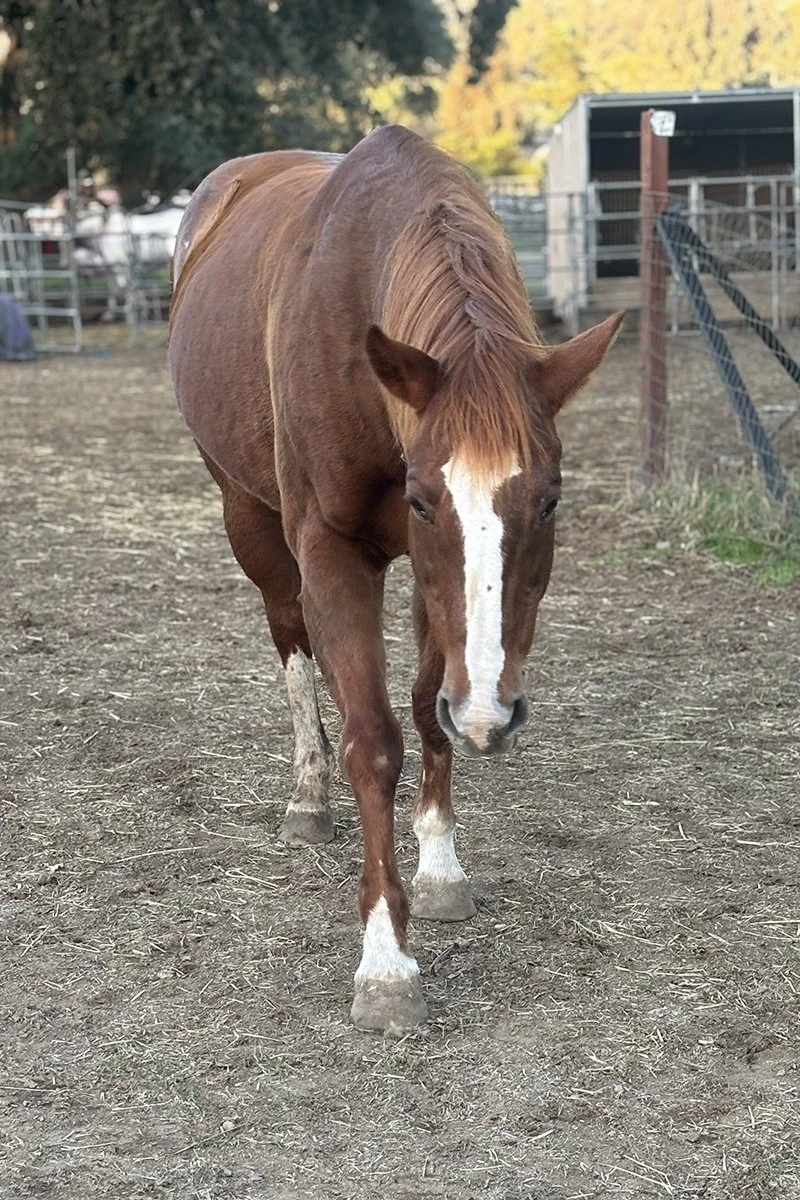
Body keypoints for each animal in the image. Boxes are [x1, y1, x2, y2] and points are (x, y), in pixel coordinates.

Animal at [168, 125, 622, 1034]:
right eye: (420, 497)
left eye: (550, 500)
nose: (494, 716)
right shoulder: (334, 550)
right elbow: (372, 740)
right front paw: (385, 963)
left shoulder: (432, 583)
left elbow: (426, 710)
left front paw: (441, 866)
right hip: (246, 514)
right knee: (291, 645)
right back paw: (308, 798)